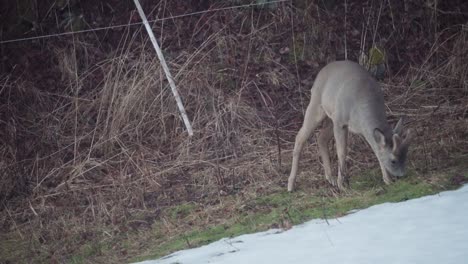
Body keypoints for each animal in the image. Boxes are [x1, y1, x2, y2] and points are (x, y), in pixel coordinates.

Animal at [288, 60, 412, 192]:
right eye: (393, 160)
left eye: (405, 155)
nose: (401, 175)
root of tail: (322, 71)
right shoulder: (340, 121)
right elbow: (342, 152)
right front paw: (342, 185)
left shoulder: (358, 127)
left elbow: (376, 150)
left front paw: (387, 180)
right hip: (317, 105)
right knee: (300, 137)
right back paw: (291, 184)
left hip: (331, 116)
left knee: (321, 138)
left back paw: (330, 178)